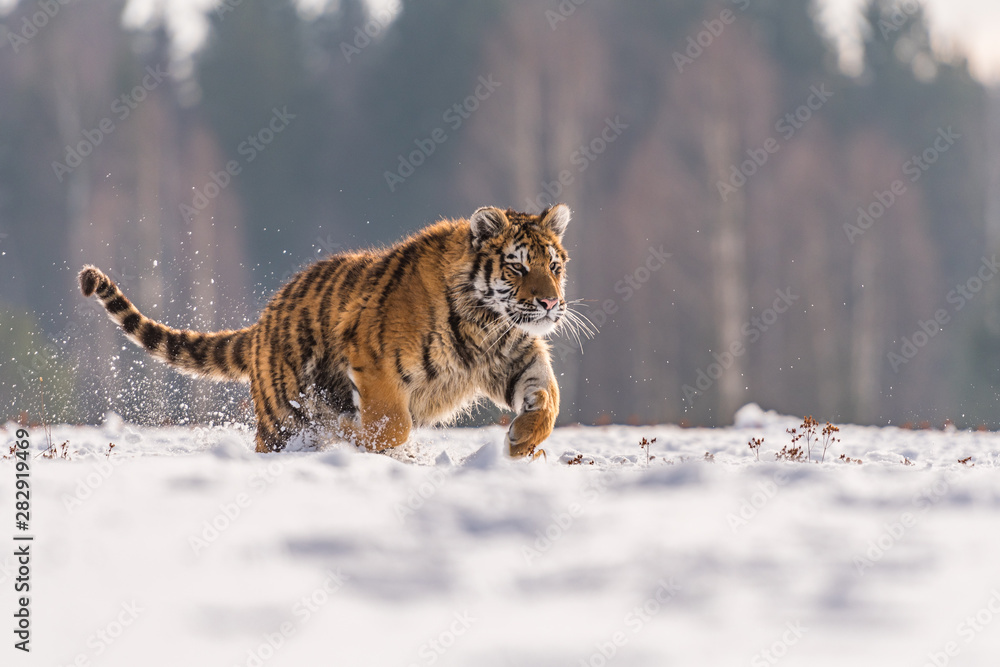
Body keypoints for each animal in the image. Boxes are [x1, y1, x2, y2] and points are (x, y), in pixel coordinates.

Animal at [79, 205, 575, 458]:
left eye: (553, 266)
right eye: (517, 266)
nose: (550, 303)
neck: (486, 322)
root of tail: (261, 324)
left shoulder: (514, 356)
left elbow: (548, 396)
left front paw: (521, 441)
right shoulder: (374, 362)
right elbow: (391, 426)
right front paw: (354, 438)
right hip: (281, 417)